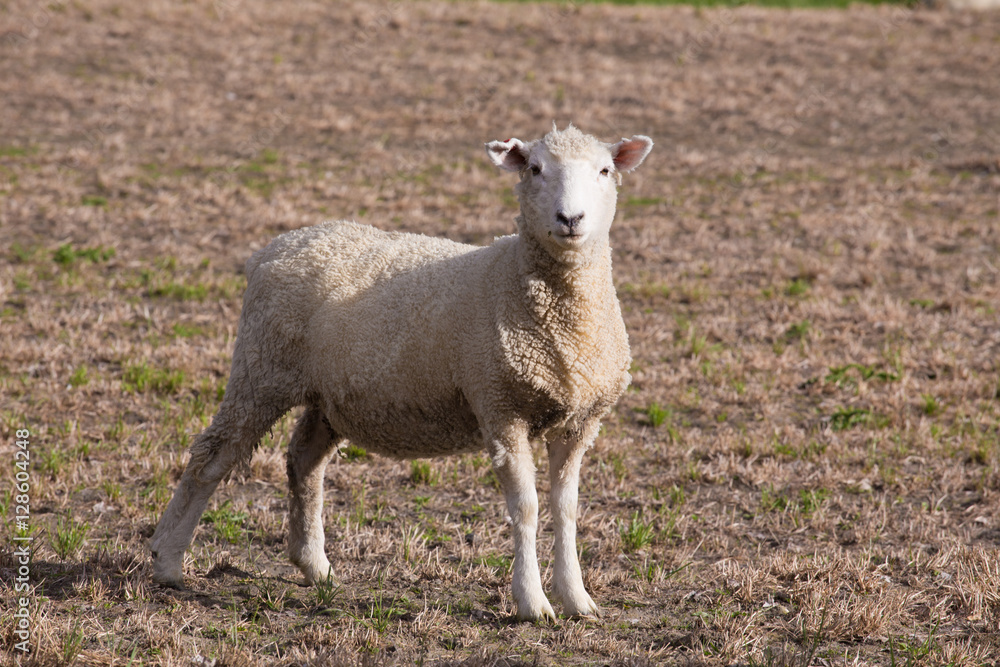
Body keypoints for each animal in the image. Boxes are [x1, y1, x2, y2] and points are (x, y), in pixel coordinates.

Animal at [146, 124, 648, 620]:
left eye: (605, 170)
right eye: (536, 169)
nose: (570, 218)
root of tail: (278, 246)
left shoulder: (581, 421)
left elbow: (566, 510)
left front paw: (577, 599)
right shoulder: (500, 407)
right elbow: (525, 508)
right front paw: (532, 603)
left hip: (327, 393)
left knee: (304, 460)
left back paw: (316, 567)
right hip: (261, 367)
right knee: (212, 456)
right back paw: (167, 560)